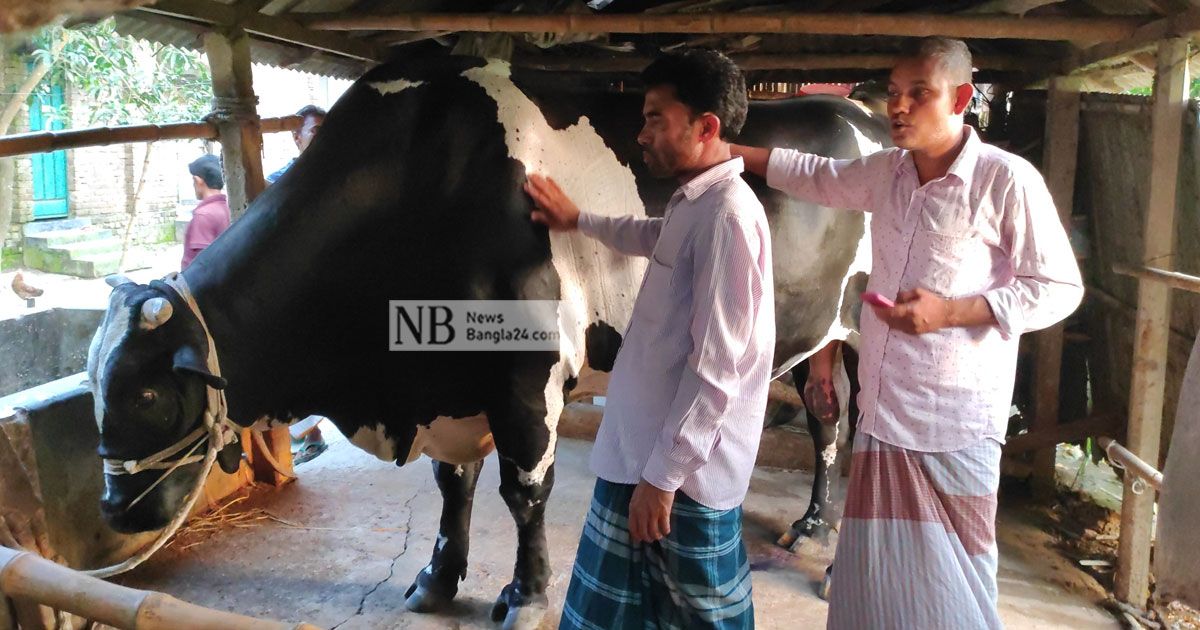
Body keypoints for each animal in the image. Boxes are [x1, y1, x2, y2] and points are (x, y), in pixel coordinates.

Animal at [88, 56, 888, 624]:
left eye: (151, 393)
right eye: (93, 384)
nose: (113, 508)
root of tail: (860, 110)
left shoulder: (525, 376)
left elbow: (524, 491)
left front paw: (525, 596)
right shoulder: (449, 385)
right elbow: (454, 484)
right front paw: (438, 579)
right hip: (816, 336)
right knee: (826, 421)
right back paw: (812, 525)